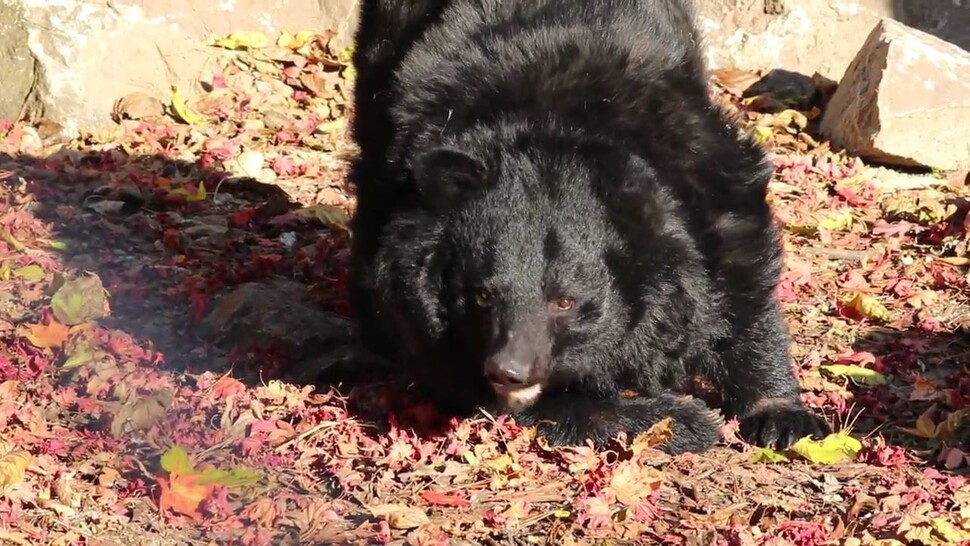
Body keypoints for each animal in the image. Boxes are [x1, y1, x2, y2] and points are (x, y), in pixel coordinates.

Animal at [344, 0, 828, 452]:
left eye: (565, 302)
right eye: (482, 295)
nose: (510, 371)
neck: (549, 126)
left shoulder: (703, 163)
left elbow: (742, 272)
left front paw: (784, 418)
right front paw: (684, 419)